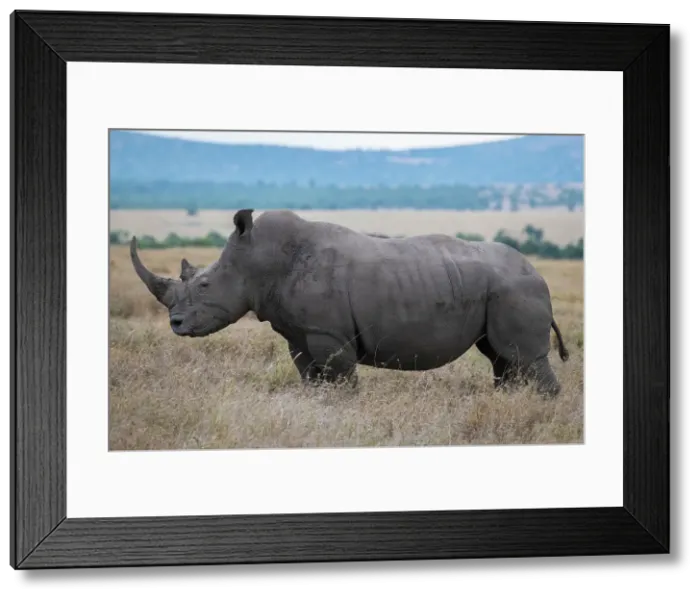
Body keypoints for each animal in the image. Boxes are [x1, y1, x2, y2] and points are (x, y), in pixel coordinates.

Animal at [130, 209, 570, 397]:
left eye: (204, 284)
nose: (176, 324)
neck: (259, 259)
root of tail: (538, 273)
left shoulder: (328, 331)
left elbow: (340, 376)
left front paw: (344, 406)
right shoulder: (299, 332)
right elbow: (309, 375)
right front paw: (315, 404)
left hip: (516, 289)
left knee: (522, 357)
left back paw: (539, 406)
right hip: (501, 291)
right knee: (502, 357)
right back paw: (509, 403)